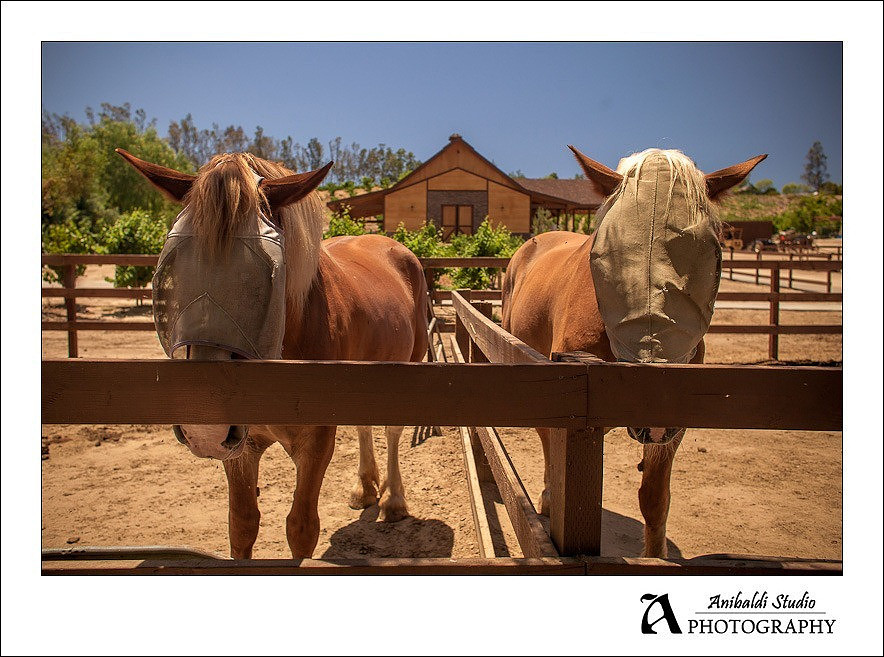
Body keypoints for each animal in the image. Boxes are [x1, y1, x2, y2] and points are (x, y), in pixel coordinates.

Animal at [116, 149, 429, 558]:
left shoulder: (316, 444)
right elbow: (242, 525)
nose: (205, 427)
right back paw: (365, 489)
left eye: (262, 278)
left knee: (392, 432)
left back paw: (393, 502)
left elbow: (301, 528)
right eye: (173, 269)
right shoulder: (241, 447)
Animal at [501, 146, 766, 557]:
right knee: (545, 440)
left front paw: (654, 557)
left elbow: (655, 499)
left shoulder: (672, 427)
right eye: (612, 254)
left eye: (713, 251)